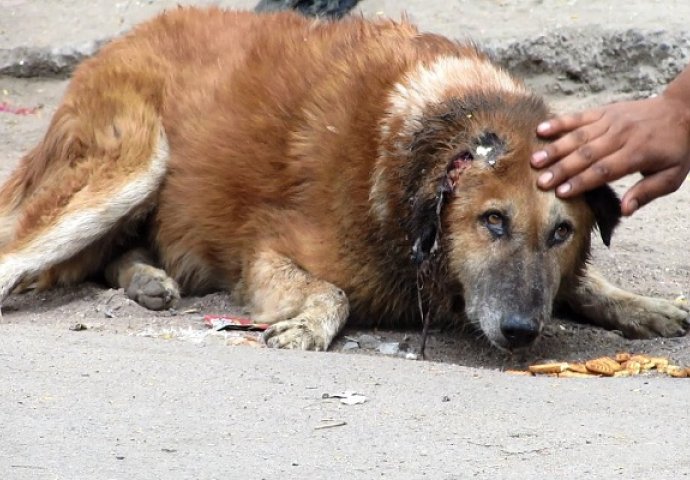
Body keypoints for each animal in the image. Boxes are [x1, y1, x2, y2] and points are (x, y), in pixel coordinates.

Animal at [1, 7, 688, 350]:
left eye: (561, 232)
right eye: (493, 221)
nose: (520, 335)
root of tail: (116, 46)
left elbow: (586, 283)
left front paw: (645, 305)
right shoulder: (267, 253)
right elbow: (333, 293)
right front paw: (307, 325)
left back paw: (148, 279)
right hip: (134, 166)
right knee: (19, 254)